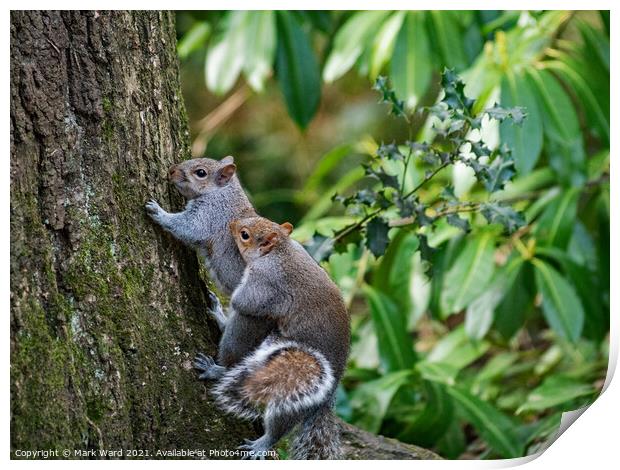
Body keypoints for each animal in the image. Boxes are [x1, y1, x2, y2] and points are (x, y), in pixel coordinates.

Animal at [145, 158, 274, 368]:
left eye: (201, 173)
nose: (171, 171)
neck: (223, 191)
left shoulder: (210, 214)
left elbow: (189, 228)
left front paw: (158, 211)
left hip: (248, 321)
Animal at [194, 217, 348, 458]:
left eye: (245, 234)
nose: (232, 223)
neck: (281, 250)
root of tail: (325, 399)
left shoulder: (265, 282)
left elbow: (241, 301)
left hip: (292, 390)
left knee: (280, 424)